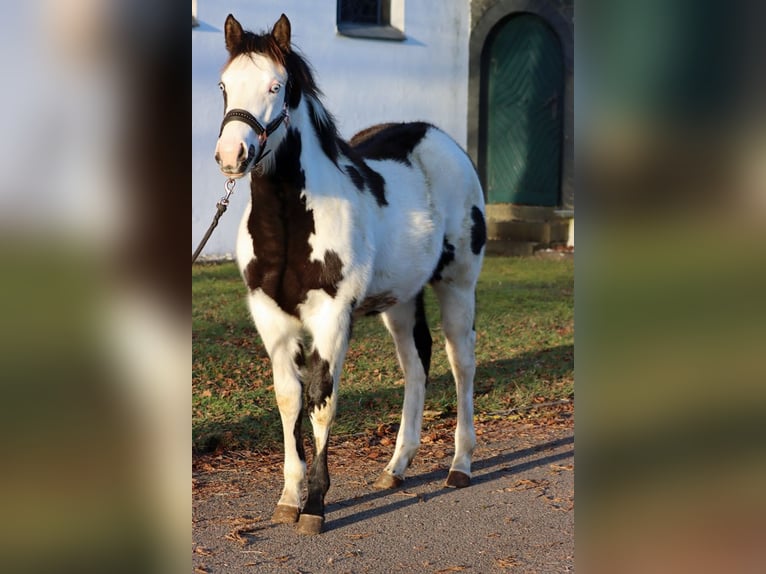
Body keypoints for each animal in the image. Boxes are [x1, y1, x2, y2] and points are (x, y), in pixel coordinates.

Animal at [214, 13, 486, 536]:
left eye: (276, 85)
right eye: (223, 85)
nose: (232, 155)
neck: (289, 224)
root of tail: (439, 138)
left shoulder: (332, 317)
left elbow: (321, 402)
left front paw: (316, 507)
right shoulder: (271, 318)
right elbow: (289, 399)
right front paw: (287, 498)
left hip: (458, 286)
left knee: (461, 363)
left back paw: (460, 465)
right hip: (400, 300)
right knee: (416, 365)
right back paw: (396, 468)